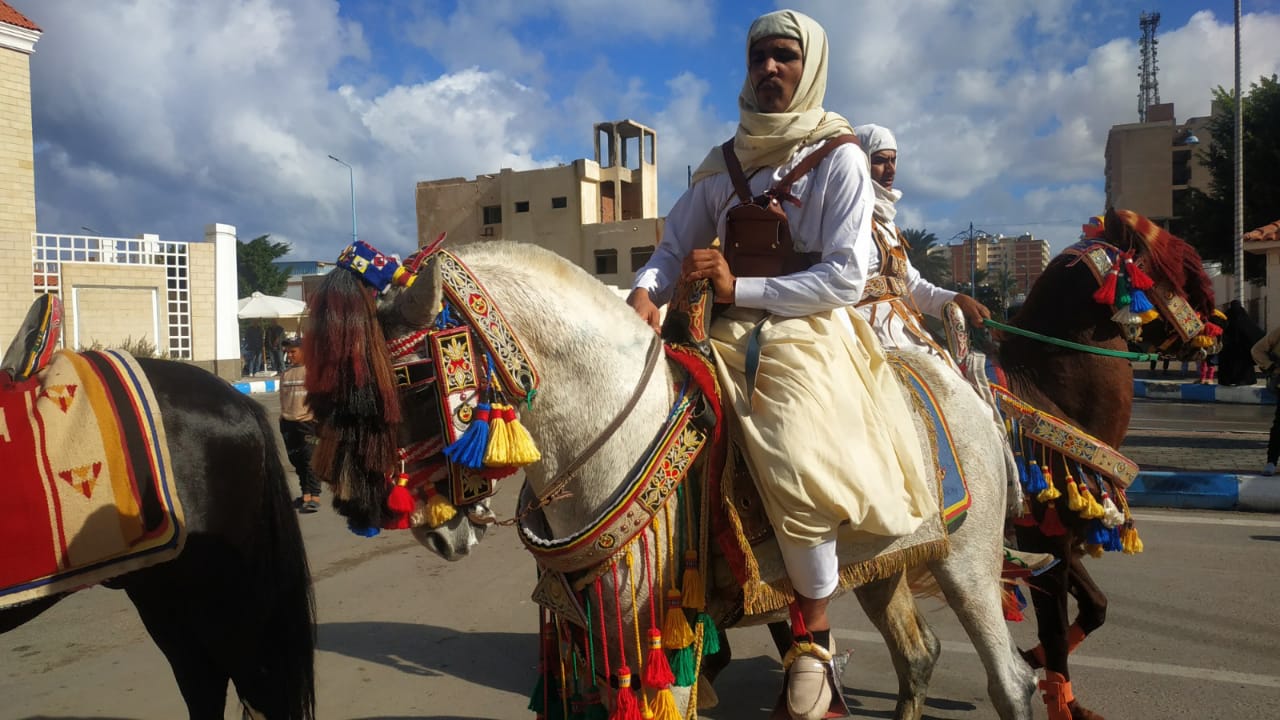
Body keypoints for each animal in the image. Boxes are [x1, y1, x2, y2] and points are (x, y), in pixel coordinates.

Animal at [309, 242, 1039, 717]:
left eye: (410, 379)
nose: (420, 526)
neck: (610, 431)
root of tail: (956, 378)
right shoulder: (600, 627)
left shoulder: (654, 629)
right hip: (883, 562)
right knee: (916, 655)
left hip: (968, 562)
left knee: (1010, 682)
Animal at [993, 207, 1213, 717]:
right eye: (1178, 267)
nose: (1219, 326)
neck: (1048, 392)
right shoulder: (1044, 537)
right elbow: (1055, 631)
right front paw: (1061, 702)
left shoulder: (1061, 536)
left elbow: (1096, 607)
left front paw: (1034, 663)